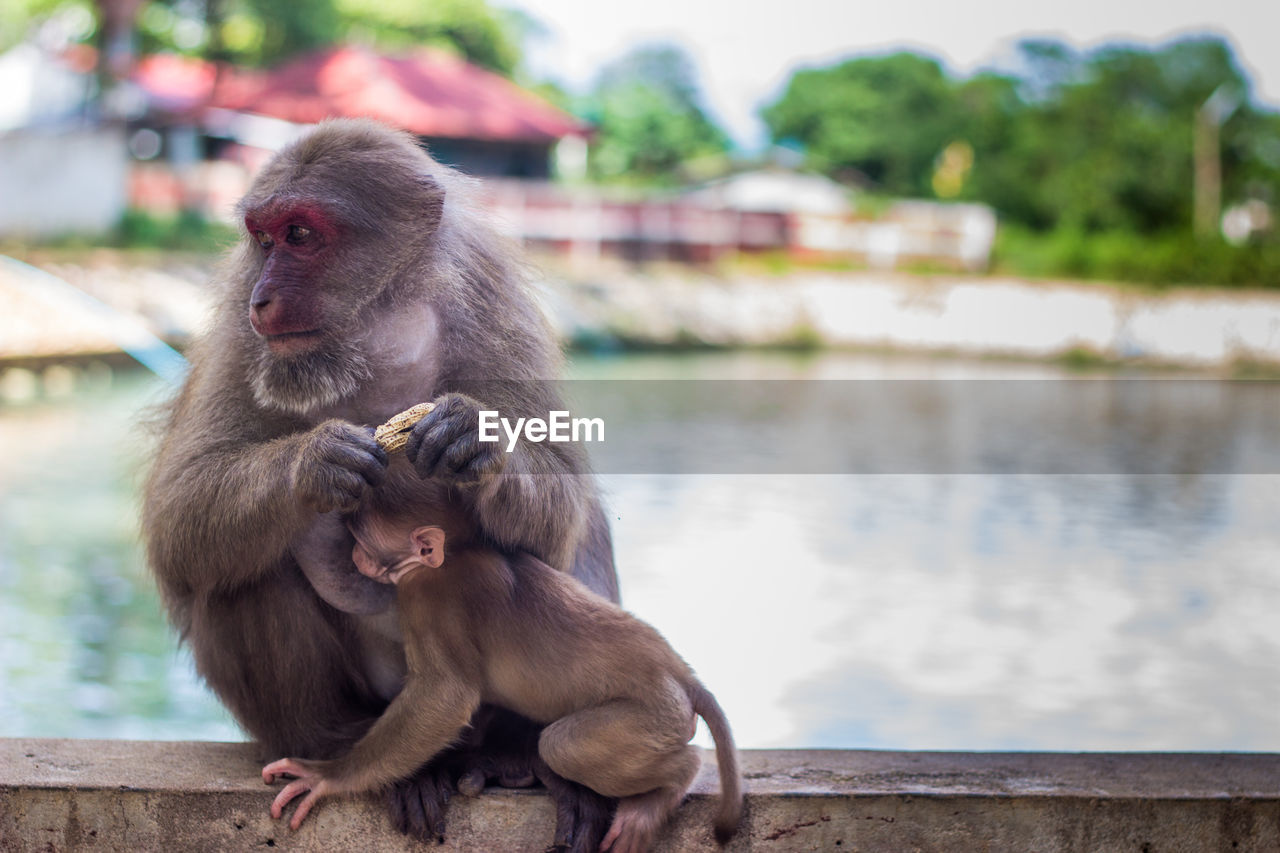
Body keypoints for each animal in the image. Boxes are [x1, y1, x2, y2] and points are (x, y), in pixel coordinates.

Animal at [142, 117, 616, 845]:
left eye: (301, 234)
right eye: (263, 237)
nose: (263, 298)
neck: (372, 332)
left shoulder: (490, 304)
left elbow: (563, 503)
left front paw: (476, 442)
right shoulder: (243, 336)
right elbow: (179, 515)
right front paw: (314, 463)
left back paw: (517, 754)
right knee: (238, 570)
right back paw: (349, 750)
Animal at [261, 484, 747, 850]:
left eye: (360, 538)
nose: (354, 558)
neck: (457, 554)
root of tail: (681, 673)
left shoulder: (426, 598)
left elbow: (445, 695)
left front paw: (328, 775)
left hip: (652, 717)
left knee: (565, 746)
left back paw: (670, 785)